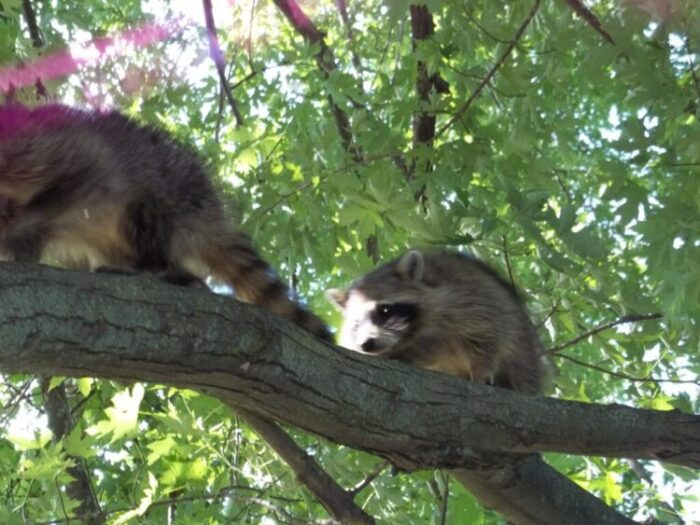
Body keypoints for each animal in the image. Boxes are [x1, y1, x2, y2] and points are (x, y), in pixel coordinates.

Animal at [0, 103, 330, 340]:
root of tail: (212, 215)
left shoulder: (56, 152)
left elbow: (84, 172)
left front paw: (20, 228)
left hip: (173, 194)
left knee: (144, 213)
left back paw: (149, 266)